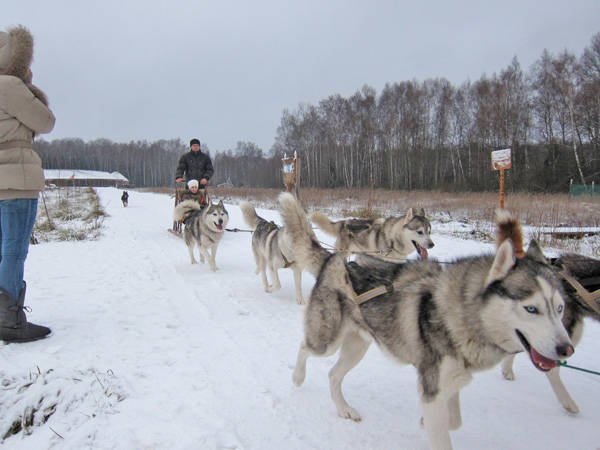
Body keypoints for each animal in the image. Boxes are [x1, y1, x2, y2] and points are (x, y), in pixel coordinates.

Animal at [279, 192, 573, 450]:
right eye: (531, 308)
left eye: (560, 308)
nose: (566, 349)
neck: (459, 316)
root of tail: (337, 262)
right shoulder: (432, 390)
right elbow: (442, 433)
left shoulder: (450, 385)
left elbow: (453, 421)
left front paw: (423, 423)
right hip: (326, 341)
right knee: (305, 348)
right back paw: (297, 377)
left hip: (357, 348)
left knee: (333, 375)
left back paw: (344, 409)